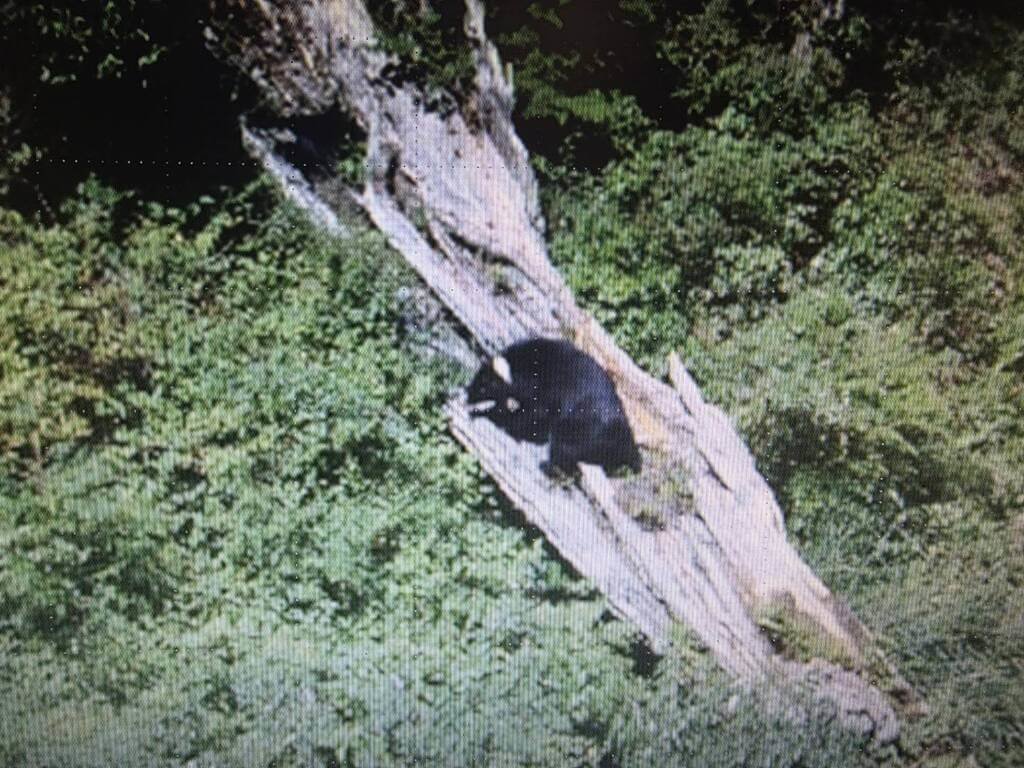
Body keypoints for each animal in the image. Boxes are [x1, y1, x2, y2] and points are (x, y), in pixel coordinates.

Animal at [466, 338, 642, 476]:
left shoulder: (542, 392)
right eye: (476, 378)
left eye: (484, 387)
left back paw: (550, 467)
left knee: (565, 448)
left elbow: (533, 413)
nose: (468, 395)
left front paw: (505, 423)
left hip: (578, 426)